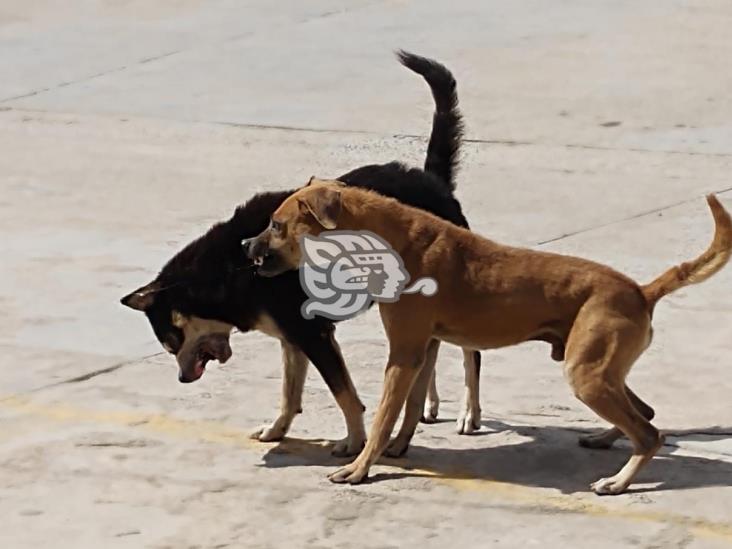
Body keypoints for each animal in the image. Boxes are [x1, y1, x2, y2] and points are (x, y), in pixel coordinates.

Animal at [122, 51, 480, 454]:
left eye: (171, 342)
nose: (183, 379)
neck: (229, 269)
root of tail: (433, 179)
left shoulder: (313, 334)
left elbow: (345, 395)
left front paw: (353, 440)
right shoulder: (292, 338)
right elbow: (289, 393)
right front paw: (278, 428)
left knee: (471, 354)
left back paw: (470, 411)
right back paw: (430, 404)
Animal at [247, 178, 732, 494]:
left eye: (277, 224)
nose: (246, 249)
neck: (388, 240)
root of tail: (641, 291)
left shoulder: (404, 351)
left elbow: (384, 415)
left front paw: (360, 467)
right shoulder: (424, 346)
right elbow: (410, 408)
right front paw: (400, 446)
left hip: (587, 374)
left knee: (649, 433)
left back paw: (617, 481)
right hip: (601, 370)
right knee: (645, 413)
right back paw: (605, 439)